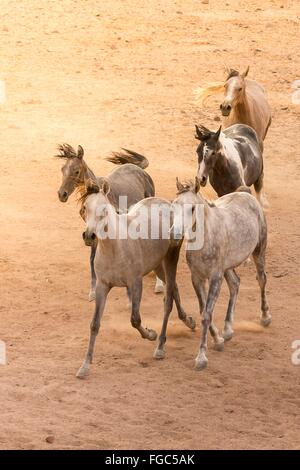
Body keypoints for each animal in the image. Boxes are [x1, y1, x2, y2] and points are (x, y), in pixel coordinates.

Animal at [55, 144, 165, 298]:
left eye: (76, 171)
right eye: (62, 169)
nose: (62, 194)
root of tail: (139, 169)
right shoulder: (91, 231)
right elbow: (92, 258)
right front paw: (92, 291)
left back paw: (159, 285)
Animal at [76, 178, 196, 380]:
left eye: (104, 209)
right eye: (85, 208)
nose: (89, 236)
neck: (115, 247)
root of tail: (168, 204)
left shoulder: (135, 283)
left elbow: (135, 319)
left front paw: (151, 334)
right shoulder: (102, 286)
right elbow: (94, 325)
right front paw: (85, 366)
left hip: (170, 259)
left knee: (170, 296)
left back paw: (162, 345)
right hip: (157, 265)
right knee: (174, 289)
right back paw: (188, 321)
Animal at [154, 178, 270, 370]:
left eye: (192, 208)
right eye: (174, 205)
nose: (174, 234)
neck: (205, 239)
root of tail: (245, 193)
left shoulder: (215, 277)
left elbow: (206, 314)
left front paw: (201, 357)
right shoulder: (197, 278)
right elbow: (203, 310)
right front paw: (218, 340)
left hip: (258, 251)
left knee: (261, 280)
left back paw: (265, 317)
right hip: (227, 267)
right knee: (235, 284)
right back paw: (228, 330)